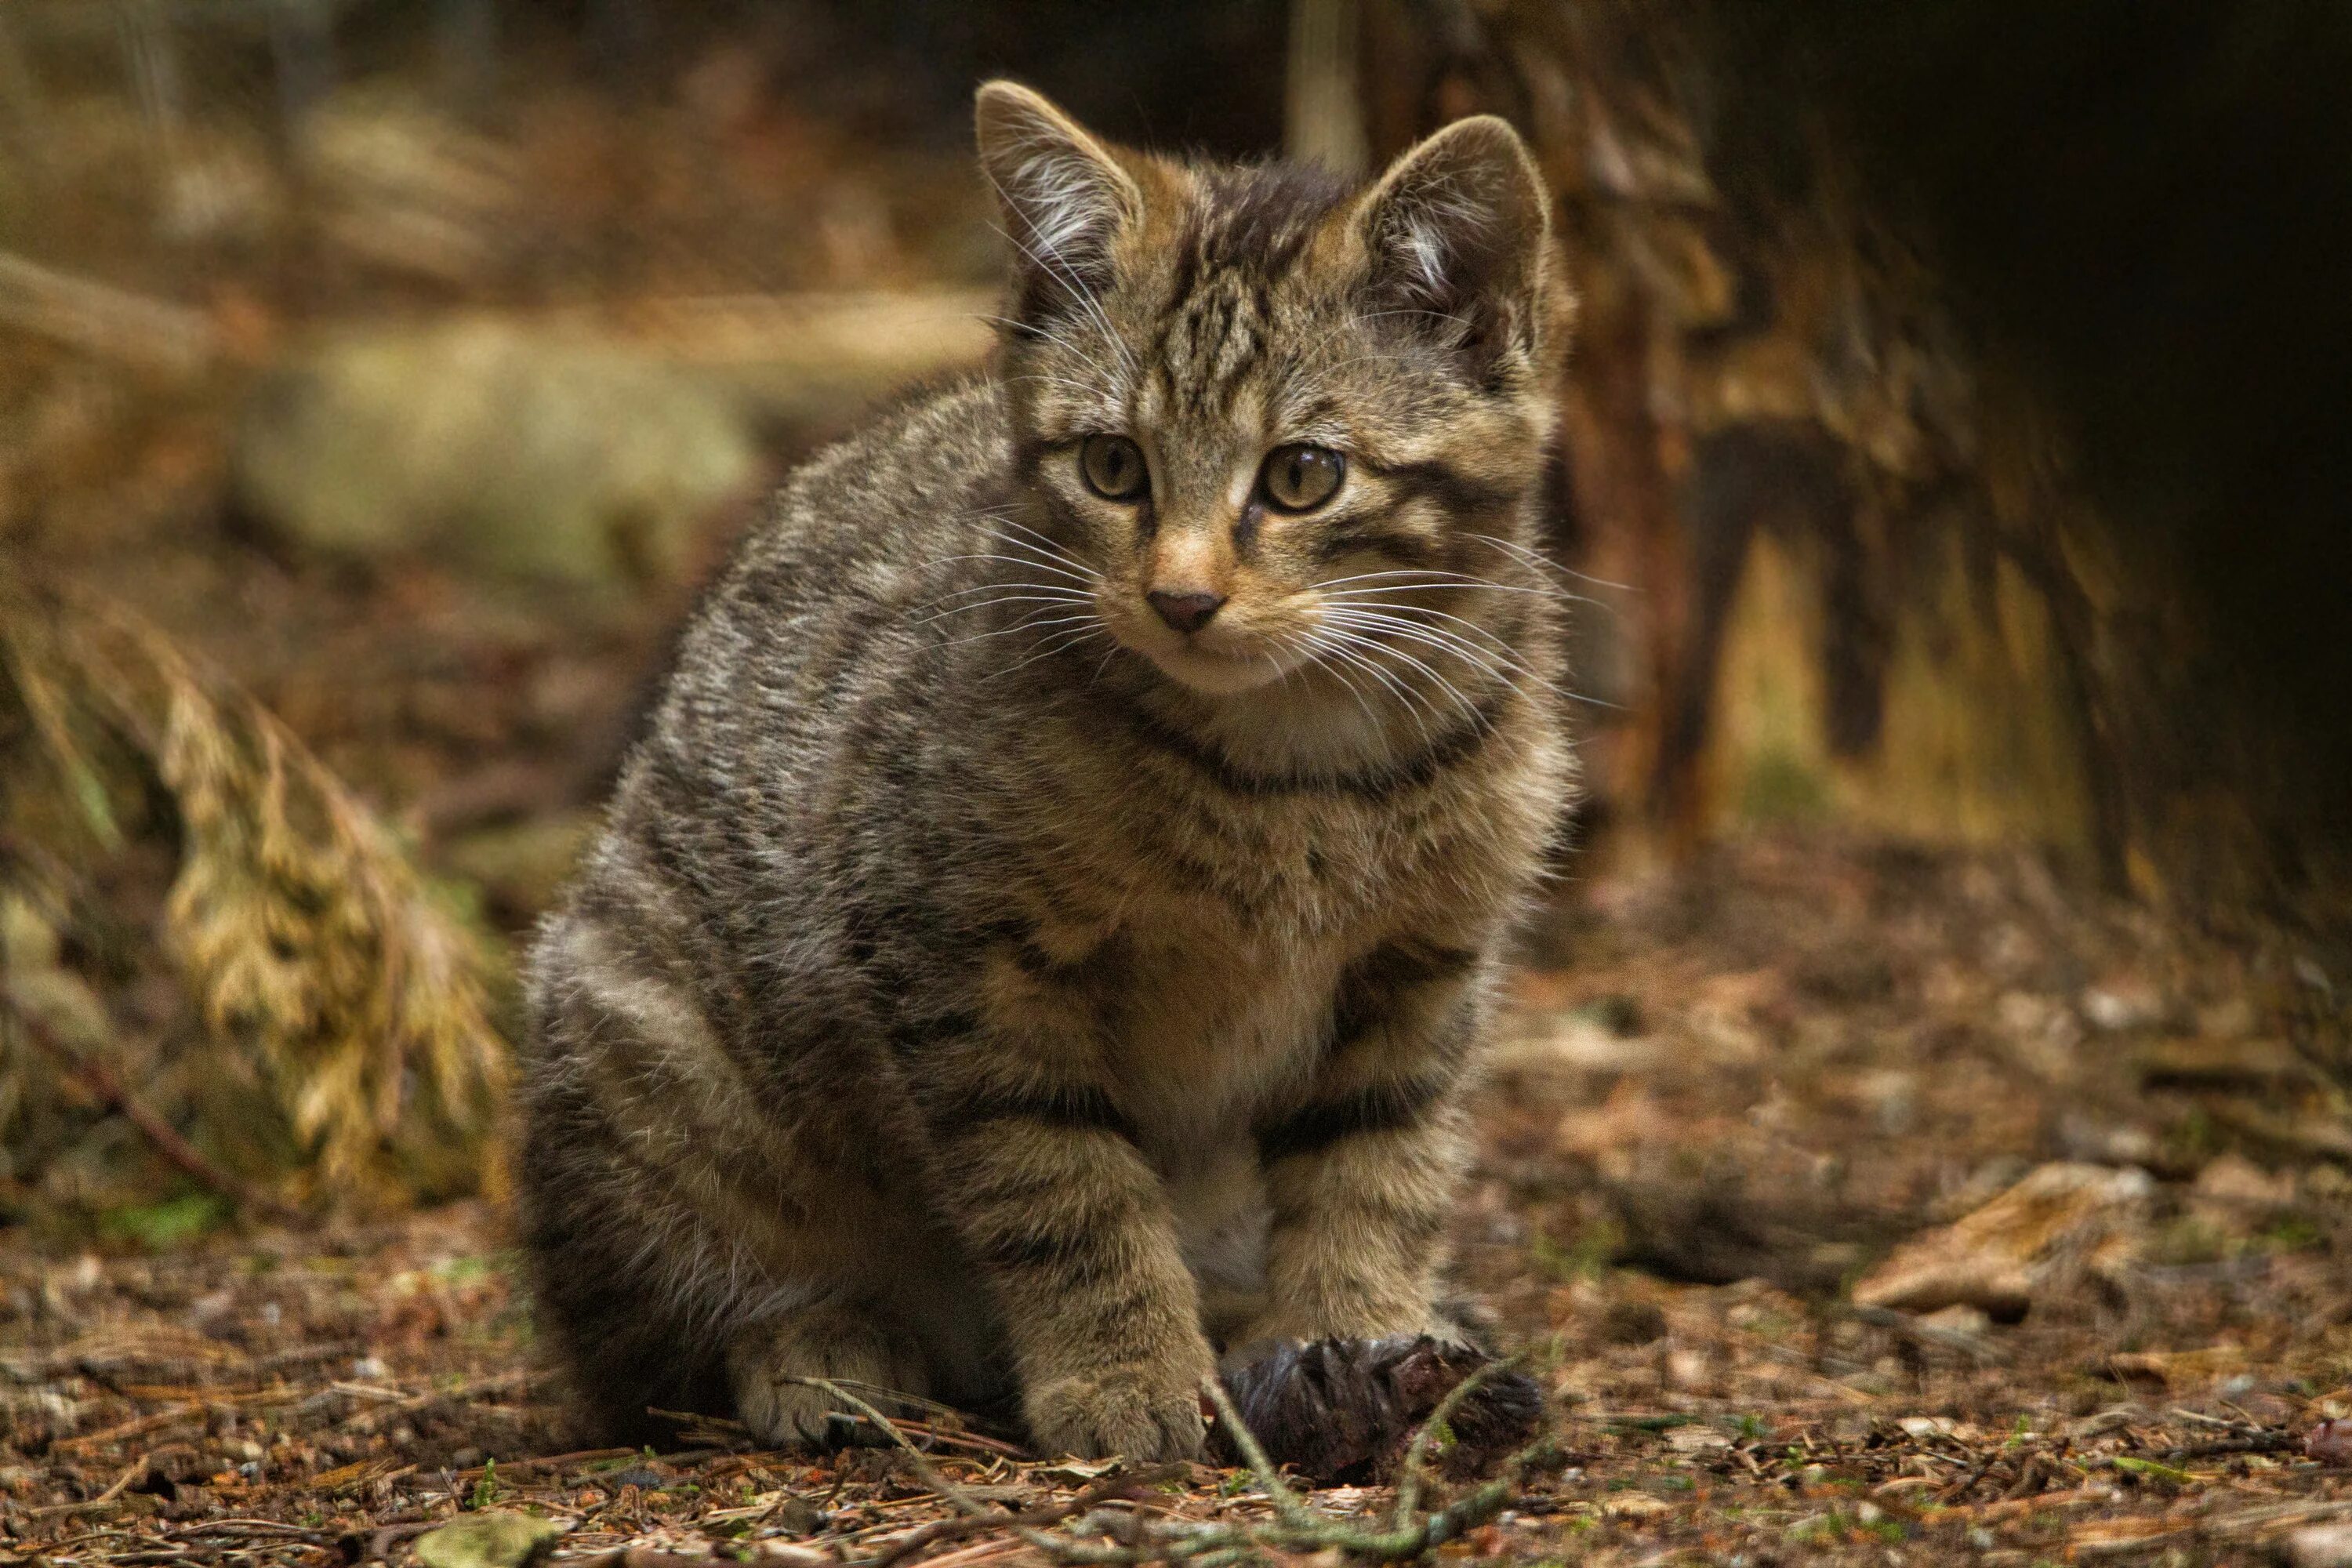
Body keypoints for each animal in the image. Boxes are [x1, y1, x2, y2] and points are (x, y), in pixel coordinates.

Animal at [517, 82, 1581, 1457]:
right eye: (1113, 466)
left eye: (1303, 474)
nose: (1180, 598)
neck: (1298, 770)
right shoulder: (960, 958)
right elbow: (1062, 1186)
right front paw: (1121, 1375)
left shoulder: (1421, 968)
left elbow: (1375, 1169)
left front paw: (1358, 1337)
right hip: (638, 1037)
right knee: (643, 1342)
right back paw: (813, 1346)